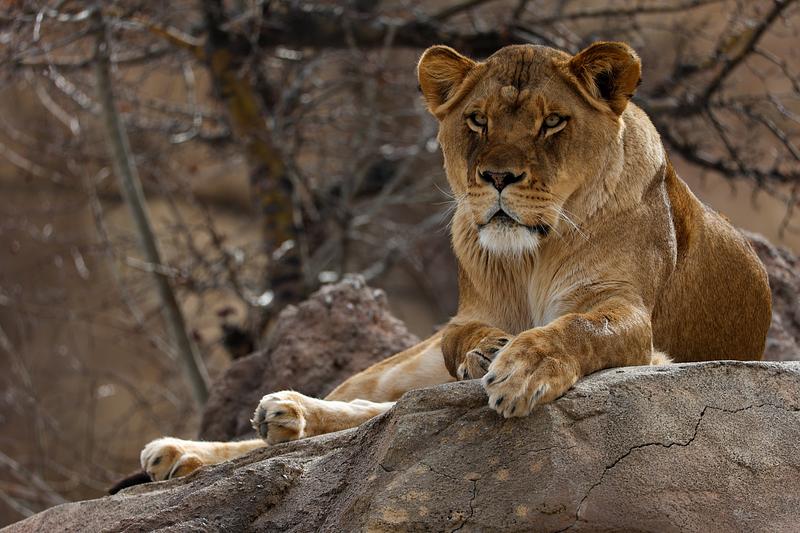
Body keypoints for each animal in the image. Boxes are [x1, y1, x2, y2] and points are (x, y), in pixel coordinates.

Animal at [140, 41, 771, 482]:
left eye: (552, 121)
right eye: (478, 120)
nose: (497, 176)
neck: (531, 255)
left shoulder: (630, 317)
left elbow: (575, 327)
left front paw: (521, 368)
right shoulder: (464, 314)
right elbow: (462, 338)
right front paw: (489, 353)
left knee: (374, 411)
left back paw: (274, 421)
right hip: (398, 366)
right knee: (370, 403)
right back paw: (206, 441)